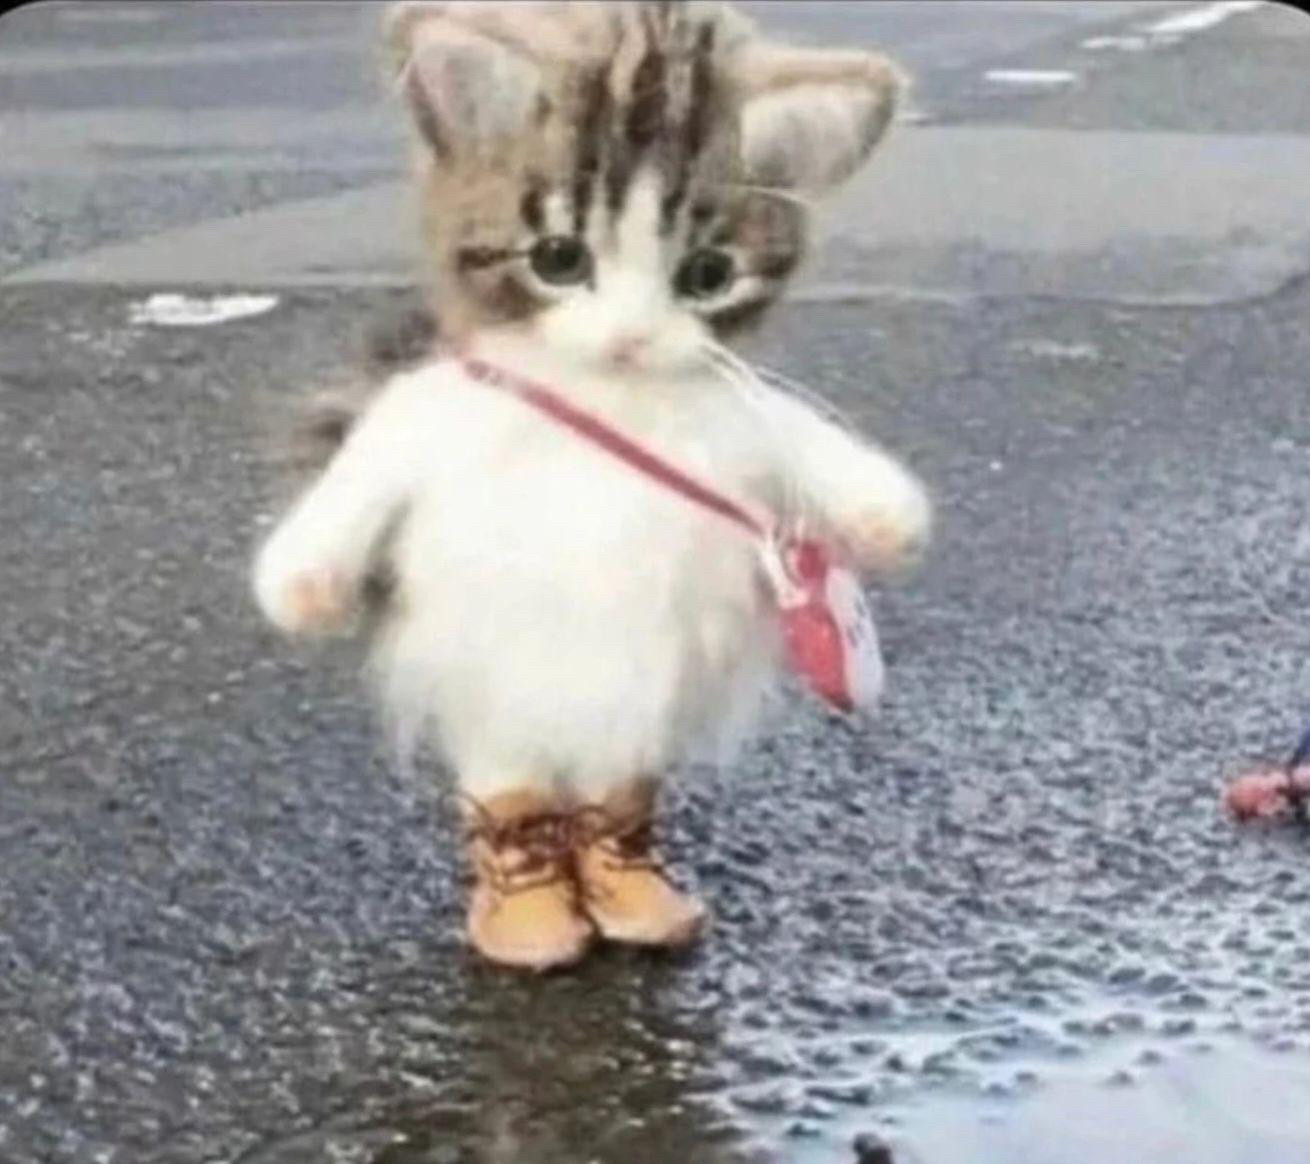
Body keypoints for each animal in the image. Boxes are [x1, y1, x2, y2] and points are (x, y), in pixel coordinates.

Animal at [250, 0, 932, 968]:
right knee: (512, 778)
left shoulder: (738, 420)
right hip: (497, 679)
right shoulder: (431, 412)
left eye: (708, 275)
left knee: (614, 785)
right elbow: (370, 464)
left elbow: (796, 435)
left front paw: (889, 518)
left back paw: (636, 896)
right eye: (559, 258)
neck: (610, 395)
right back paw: (530, 918)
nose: (631, 339)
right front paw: (303, 589)